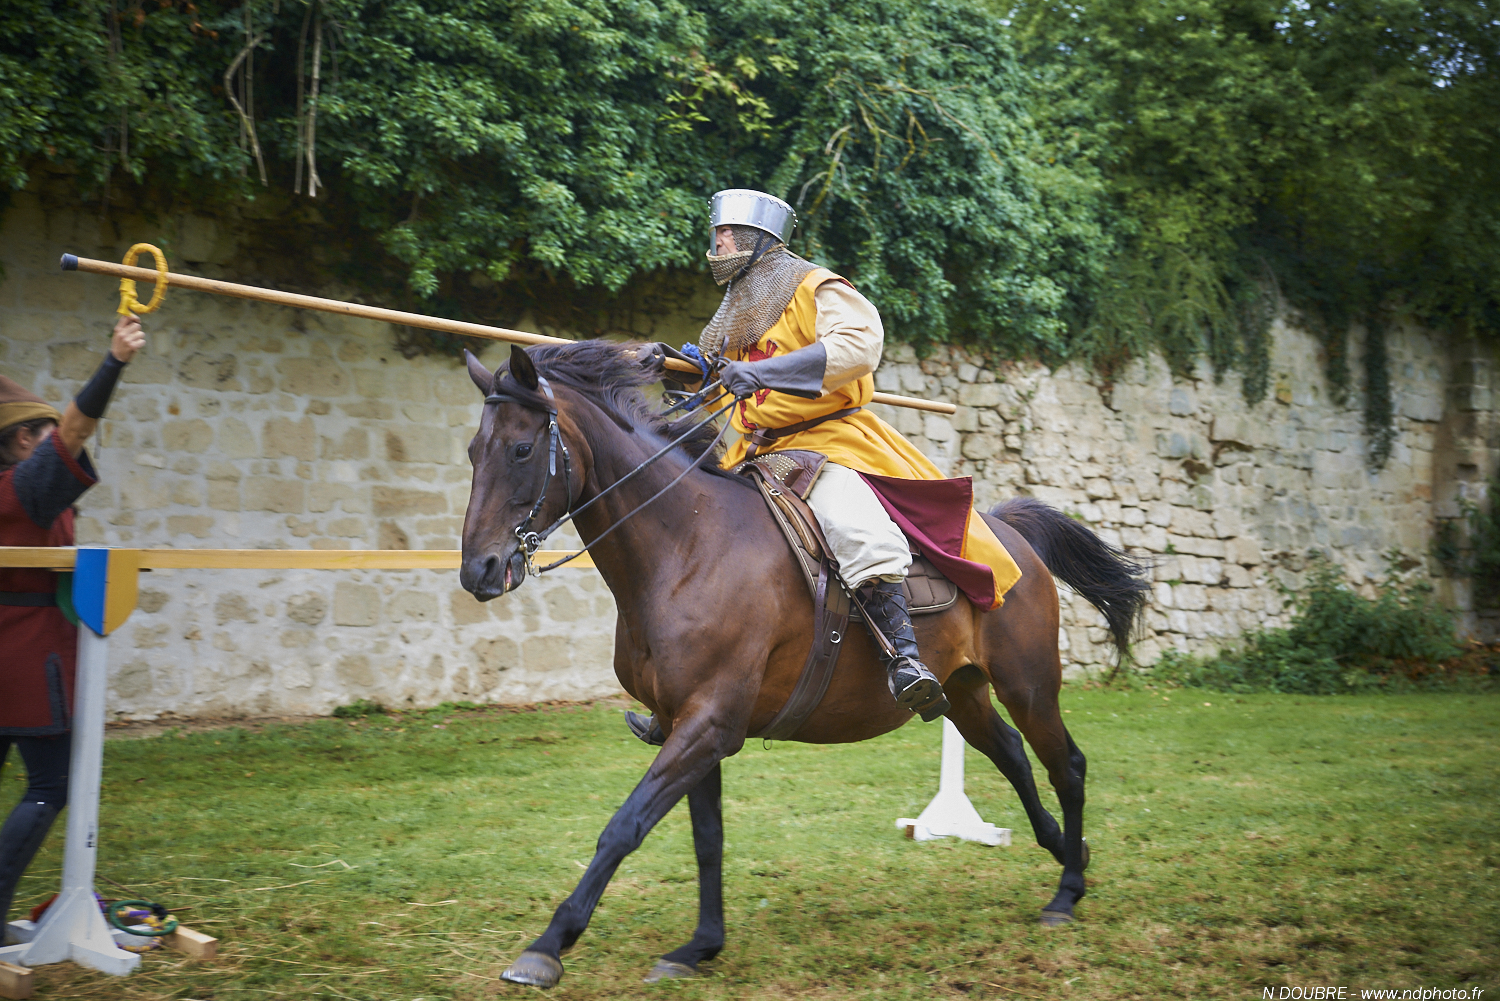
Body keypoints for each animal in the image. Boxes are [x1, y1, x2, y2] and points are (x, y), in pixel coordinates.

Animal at [458, 341, 1152, 988]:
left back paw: (1066, 890)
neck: (685, 543)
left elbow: (624, 827)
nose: (479, 571)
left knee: (1066, 765)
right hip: (962, 693)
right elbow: (706, 839)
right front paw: (701, 945)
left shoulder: (707, 725)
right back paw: (1066, 849)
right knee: (1012, 754)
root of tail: (1008, 532)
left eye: (521, 451)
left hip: (1027, 685)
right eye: (472, 452)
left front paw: (548, 946)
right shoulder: (690, 723)